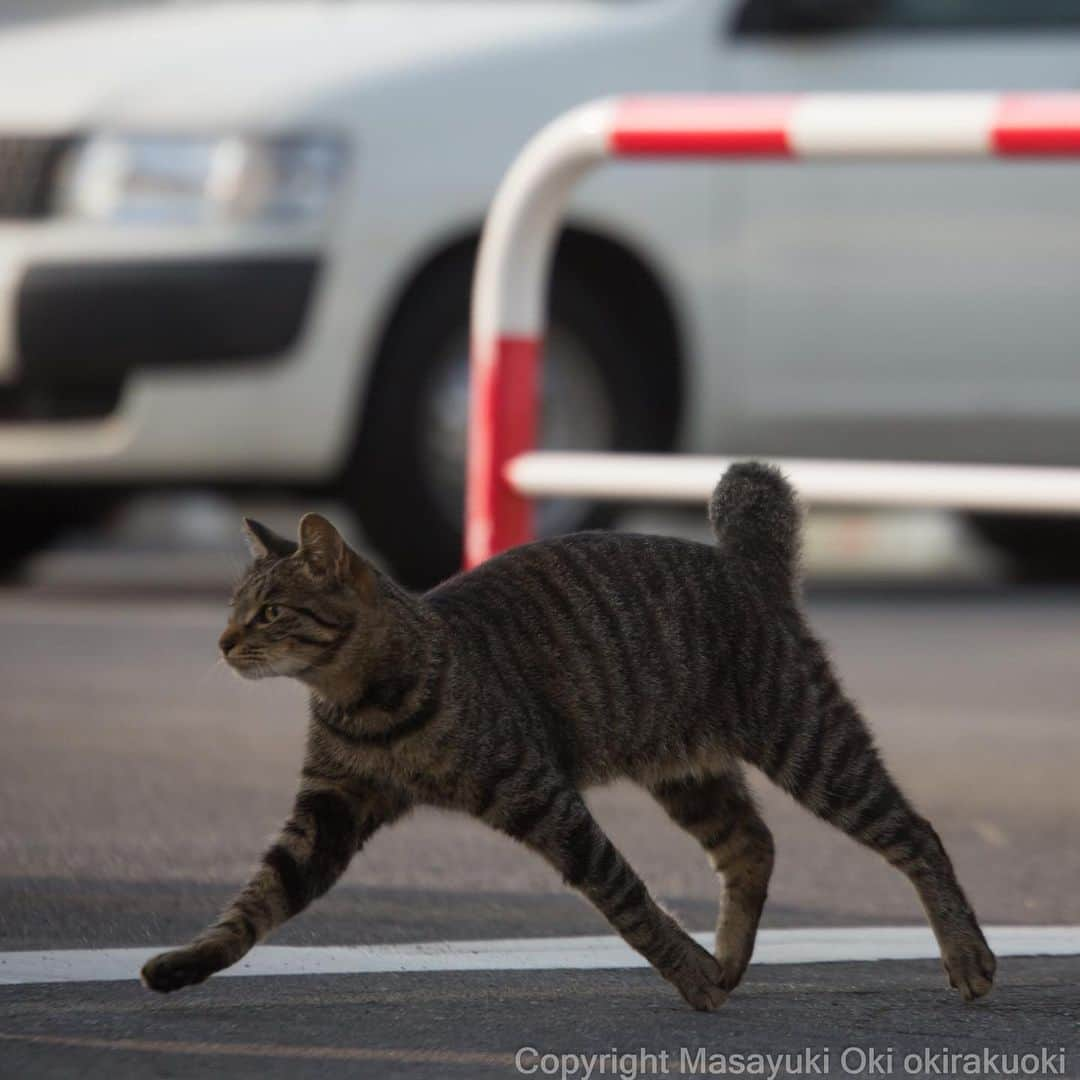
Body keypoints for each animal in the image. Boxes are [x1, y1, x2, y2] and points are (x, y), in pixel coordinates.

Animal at [143, 464, 993, 1010]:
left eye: (270, 613)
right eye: (233, 608)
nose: (221, 641)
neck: (362, 705)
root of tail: (747, 565)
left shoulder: (544, 800)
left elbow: (626, 897)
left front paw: (684, 975)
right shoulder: (327, 812)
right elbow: (253, 905)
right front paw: (189, 964)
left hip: (811, 745)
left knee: (916, 834)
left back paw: (967, 956)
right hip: (688, 773)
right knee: (752, 844)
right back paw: (727, 962)